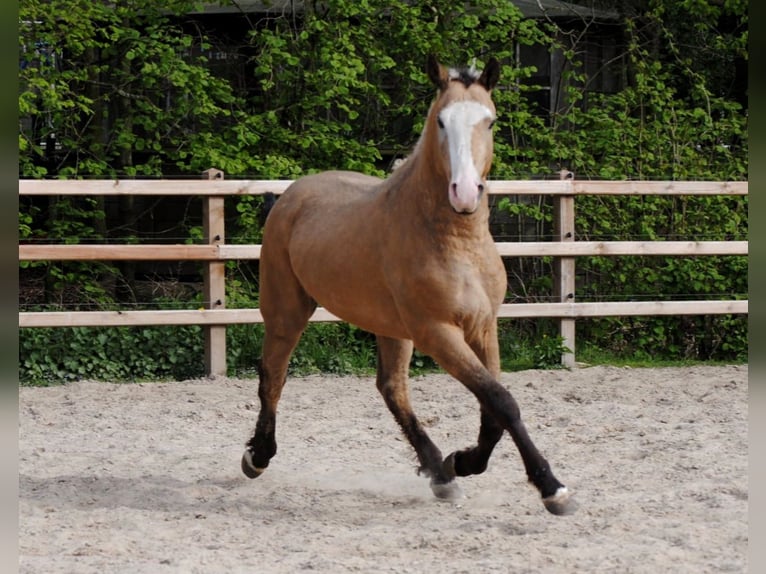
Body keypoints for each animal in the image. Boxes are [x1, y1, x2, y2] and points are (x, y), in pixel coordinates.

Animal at [241, 55, 576, 516]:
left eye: (489, 121)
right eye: (441, 121)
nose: (465, 193)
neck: (456, 242)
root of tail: (289, 196)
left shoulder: (483, 326)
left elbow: (492, 407)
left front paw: (461, 462)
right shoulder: (437, 332)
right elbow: (502, 401)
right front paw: (551, 487)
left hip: (389, 327)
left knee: (392, 389)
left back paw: (440, 474)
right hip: (286, 311)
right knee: (273, 376)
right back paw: (257, 456)